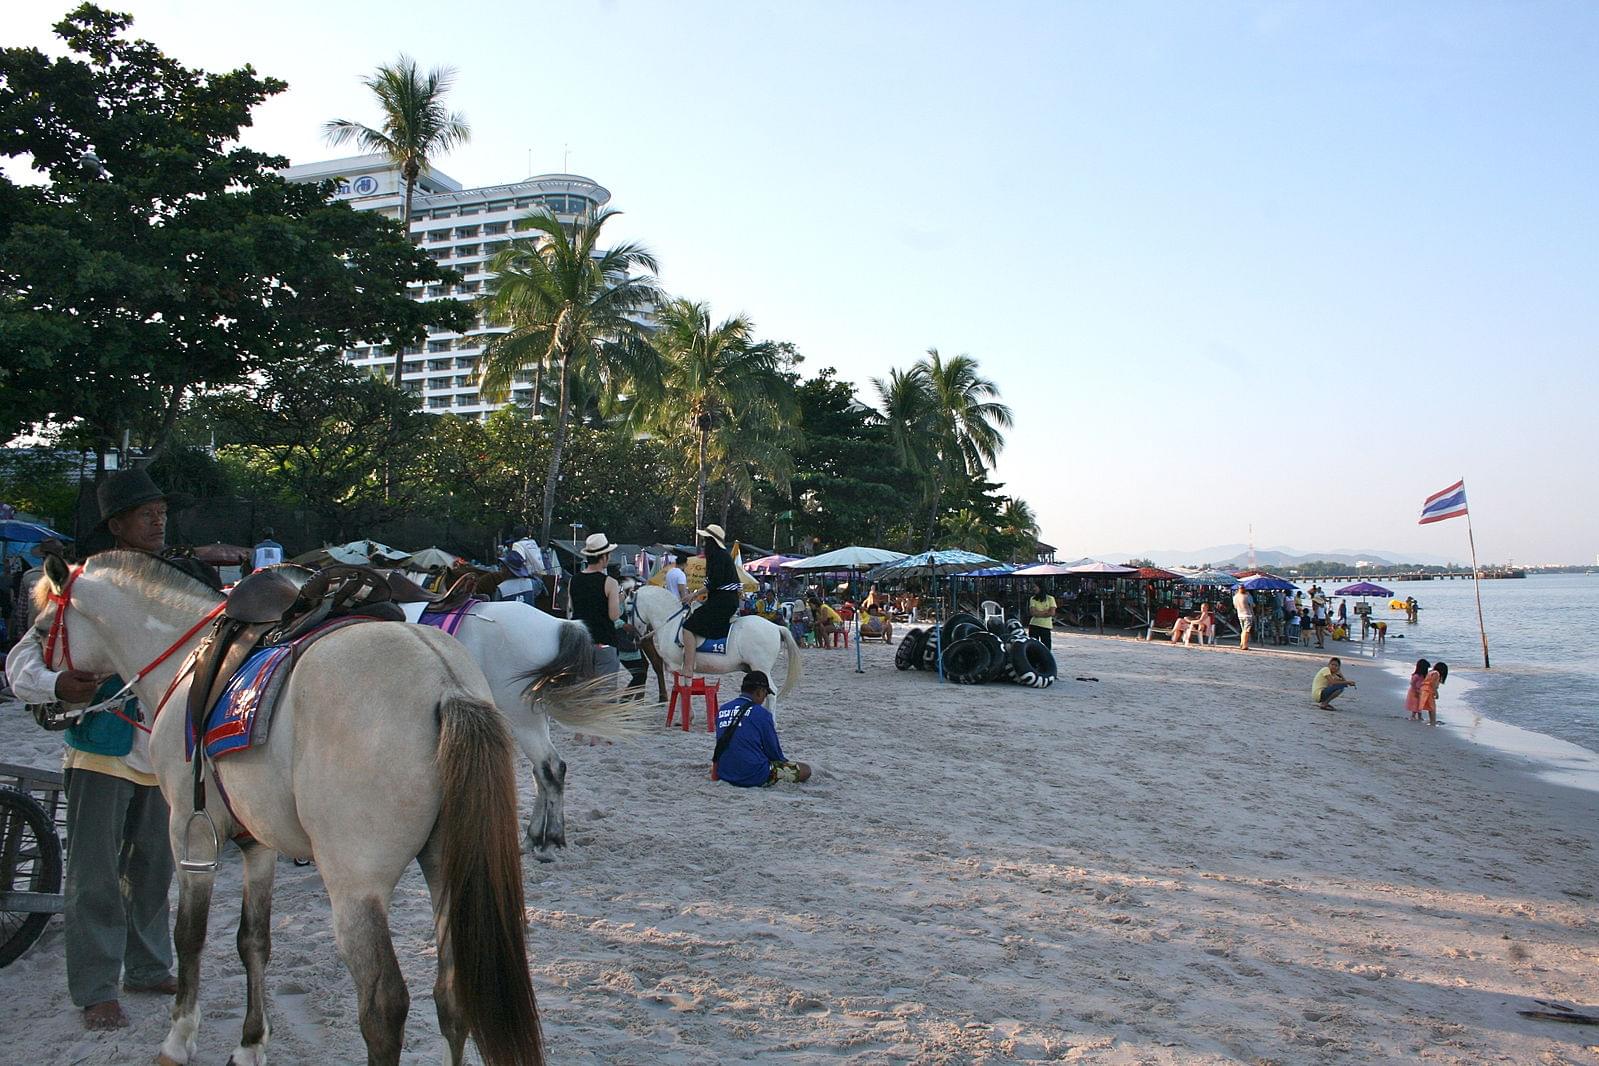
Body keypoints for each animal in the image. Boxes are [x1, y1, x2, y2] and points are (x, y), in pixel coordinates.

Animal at [35, 556, 543, 1066]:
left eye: (40, 630)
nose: (43, 708)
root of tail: (445, 683)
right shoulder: (258, 843)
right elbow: (254, 941)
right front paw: (250, 1043)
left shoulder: (189, 831)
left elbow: (189, 935)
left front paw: (179, 1039)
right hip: (445, 869)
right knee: (452, 996)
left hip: (355, 887)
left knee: (384, 1007)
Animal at [398, 600, 642, 856]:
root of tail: (560, 623)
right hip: (535, 719)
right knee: (543, 772)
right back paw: (533, 838)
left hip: (523, 719)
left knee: (550, 768)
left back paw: (551, 838)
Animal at [623, 578, 799, 703]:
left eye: (628, 610)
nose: (633, 637)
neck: (671, 622)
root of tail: (775, 627)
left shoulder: (676, 666)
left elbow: (679, 690)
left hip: (760, 667)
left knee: (772, 693)